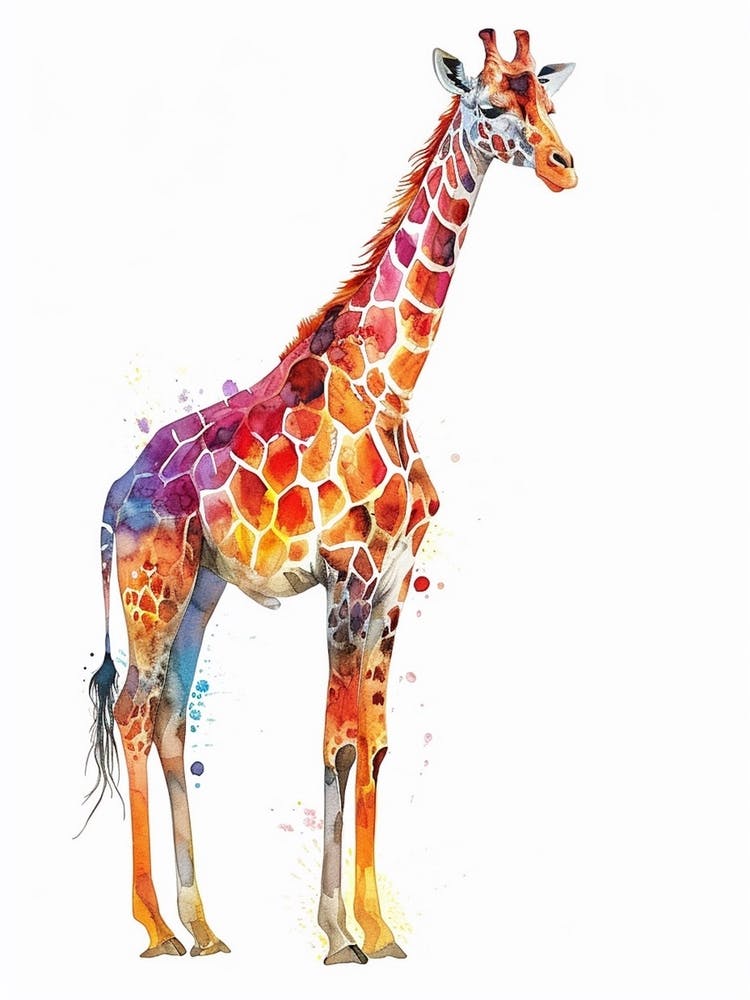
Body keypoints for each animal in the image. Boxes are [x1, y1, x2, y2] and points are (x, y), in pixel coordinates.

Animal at [84, 27, 576, 963]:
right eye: (490, 104)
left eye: (547, 97)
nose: (565, 166)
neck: (392, 384)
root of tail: (111, 496)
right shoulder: (345, 578)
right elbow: (338, 744)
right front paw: (340, 935)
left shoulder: (390, 583)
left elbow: (374, 744)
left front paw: (378, 929)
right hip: (150, 586)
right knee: (131, 709)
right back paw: (156, 928)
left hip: (200, 590)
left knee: (169, 717)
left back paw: (204, 926)